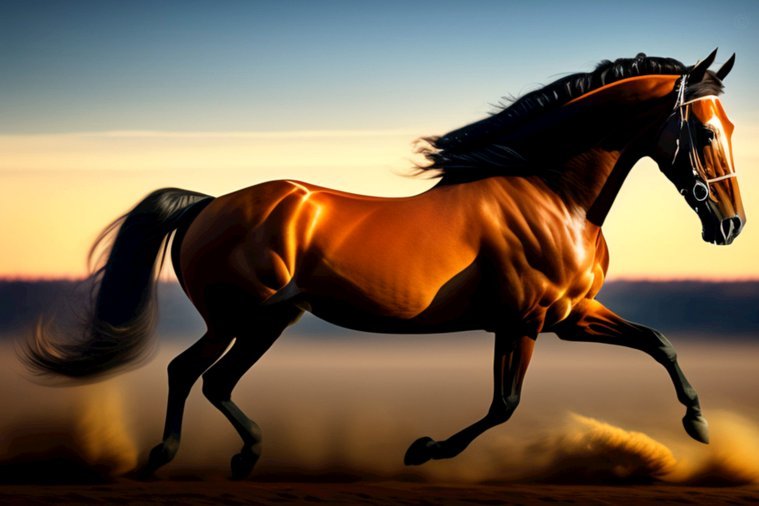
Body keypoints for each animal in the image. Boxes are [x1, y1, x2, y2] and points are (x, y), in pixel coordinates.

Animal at [26, 50, 745, 479]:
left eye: (733, 128)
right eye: (707, 130)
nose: (730, 226)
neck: (550, 194)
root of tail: (208, 205)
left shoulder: (570, 315)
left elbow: (657, 341)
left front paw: (699, 424)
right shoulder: (526, 320)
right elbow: (504, 404)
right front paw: (422, 450)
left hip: (269, 321)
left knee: (215, 381)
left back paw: (245, 454)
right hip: (237, 316)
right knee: (186, 371)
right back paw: (162, 456)